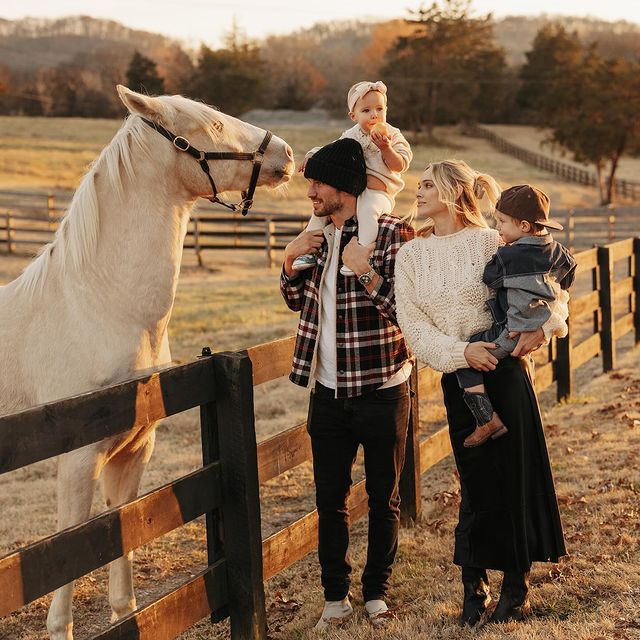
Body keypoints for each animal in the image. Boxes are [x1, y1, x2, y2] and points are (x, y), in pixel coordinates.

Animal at [0, 86, 296, 640]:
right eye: (212, 126)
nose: (286, 154)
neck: (96, 303)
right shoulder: (77, 460)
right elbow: (69, 548)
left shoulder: (134, 451)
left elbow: (122, 530)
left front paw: (127, 614)